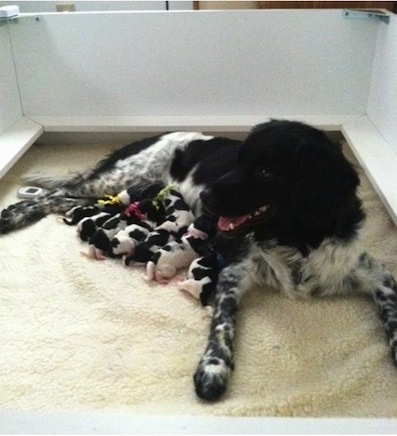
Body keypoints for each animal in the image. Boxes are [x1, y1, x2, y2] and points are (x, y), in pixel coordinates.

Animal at [0, 120, 396, 402]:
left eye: (265, 171)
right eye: (239, 160)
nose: (205, 196)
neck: (295, 239)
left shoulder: (375, 274)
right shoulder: (235, 270)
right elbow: (222, 326)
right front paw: (213, 370)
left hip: (115, 193)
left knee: (66, 199)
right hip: (118, 180)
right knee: (56, 194)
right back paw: (15, 214)